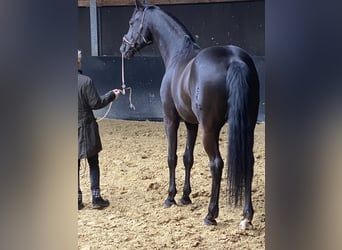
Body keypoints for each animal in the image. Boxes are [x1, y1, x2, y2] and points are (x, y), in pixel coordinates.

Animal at [120, 0, 260, 229]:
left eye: (132, 22)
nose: (123, 48)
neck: (179, 55)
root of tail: (234, 60)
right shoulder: (191, 123)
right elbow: (188, 157)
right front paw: (185, 196)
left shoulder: (171, 120)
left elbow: (172, 157)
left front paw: (170, 197)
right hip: (247, 126)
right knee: (248, 162)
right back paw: (246, 216)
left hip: (209, 130)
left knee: (216, 164)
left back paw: (211, 214)